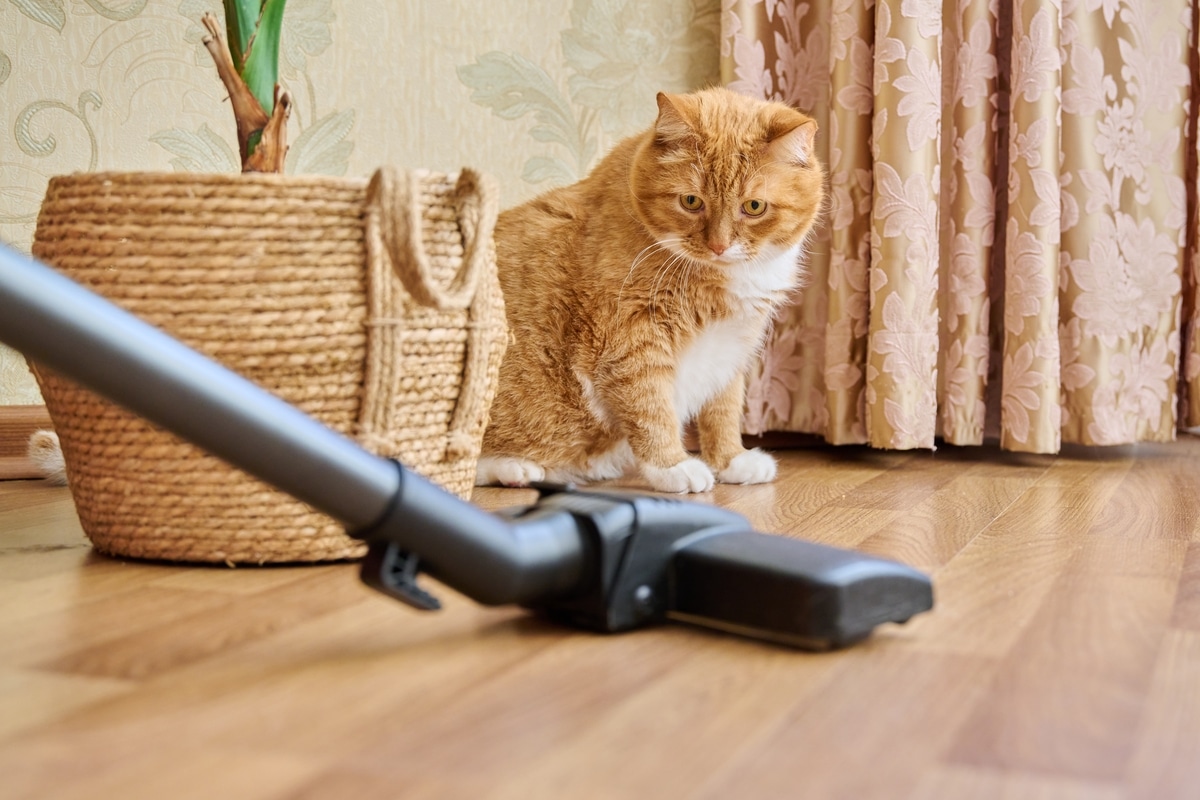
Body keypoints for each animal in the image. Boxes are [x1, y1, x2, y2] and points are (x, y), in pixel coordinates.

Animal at [477, 84, 825, 491]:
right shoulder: (631, 339)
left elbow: (723, 409)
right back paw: (514, 468)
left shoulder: (731, 346)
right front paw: (672, 466)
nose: (718, 245)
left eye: (754, 206)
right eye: (691, 201)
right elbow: (651, 407)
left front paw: (731, 459)